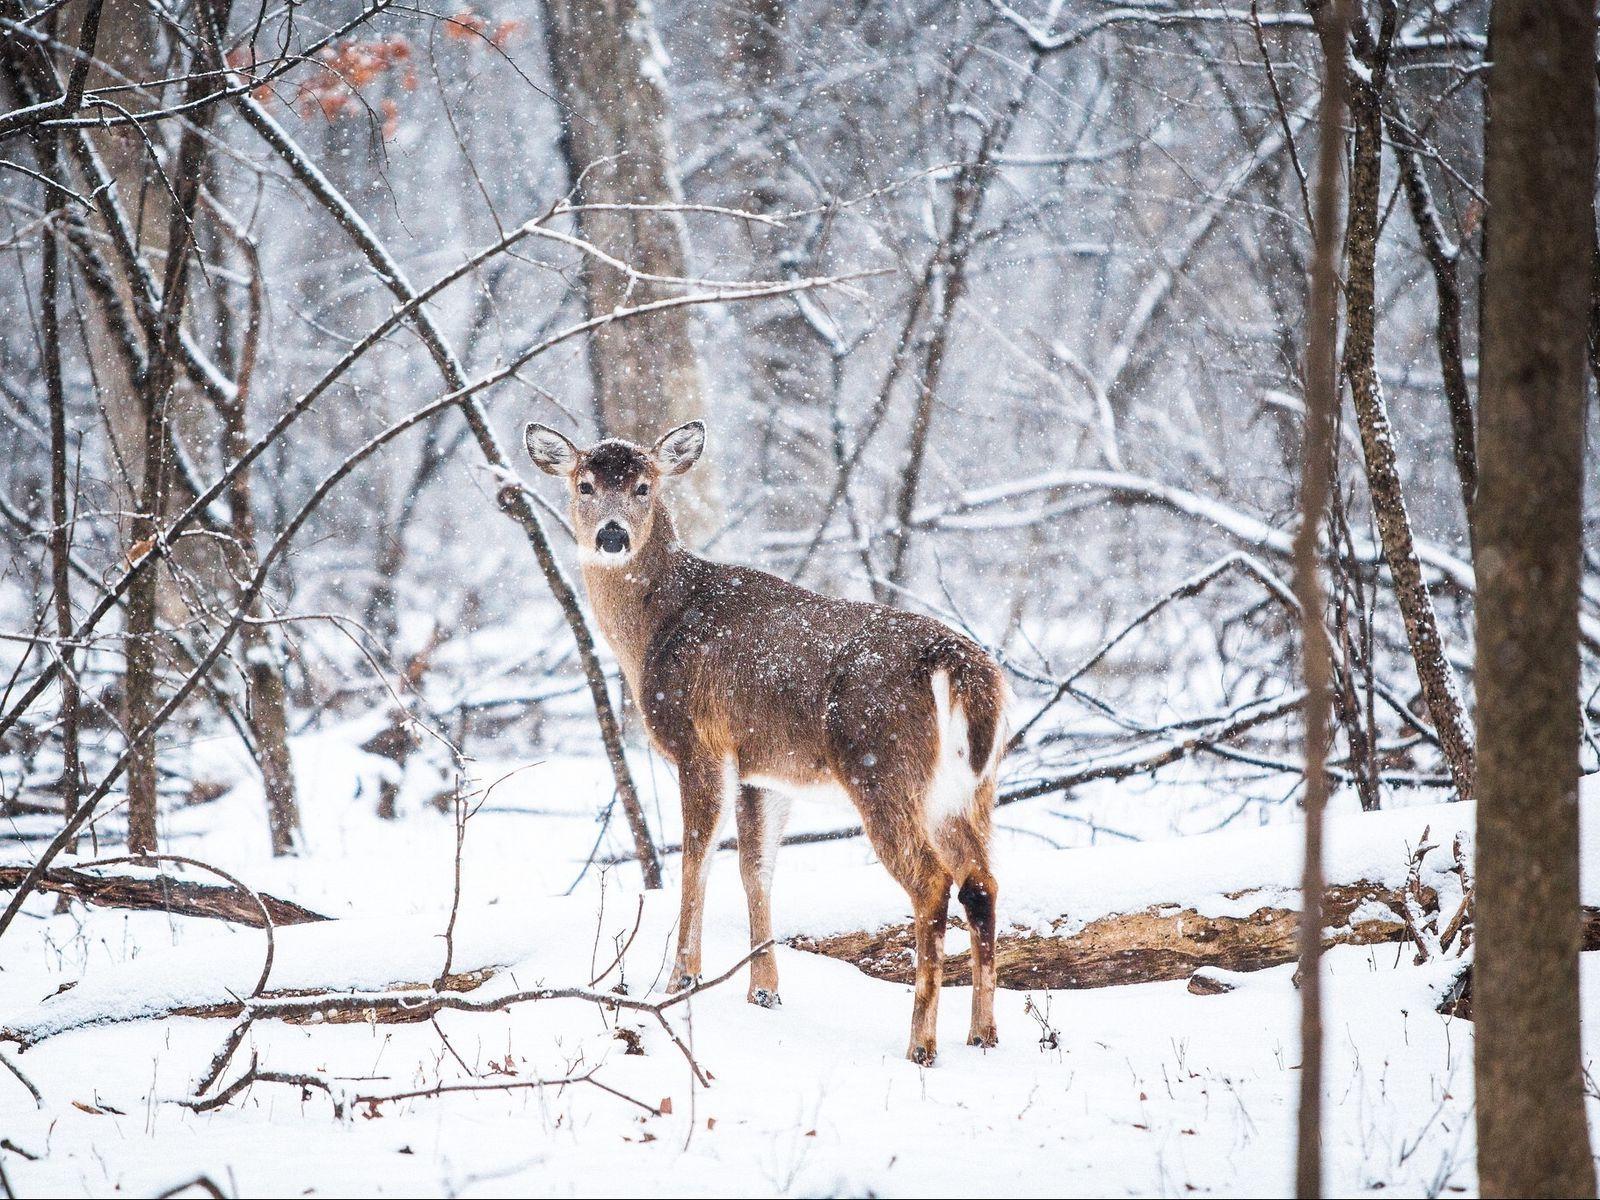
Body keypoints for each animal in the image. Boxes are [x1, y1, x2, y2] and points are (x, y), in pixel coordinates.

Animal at [524, 419, 1007, 1064]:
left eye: (644, 486)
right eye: (585, 483)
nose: (611, 535)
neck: (654, 629)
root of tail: (959, 665)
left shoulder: (701, 742)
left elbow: (696, 860)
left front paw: (682, 980)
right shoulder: (764, 770)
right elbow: (757, 868)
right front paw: (764, 990)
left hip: (882, 767)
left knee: (933, 884)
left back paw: (921, 1044)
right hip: (970, 788)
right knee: (981, 883)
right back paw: (983, 1034)